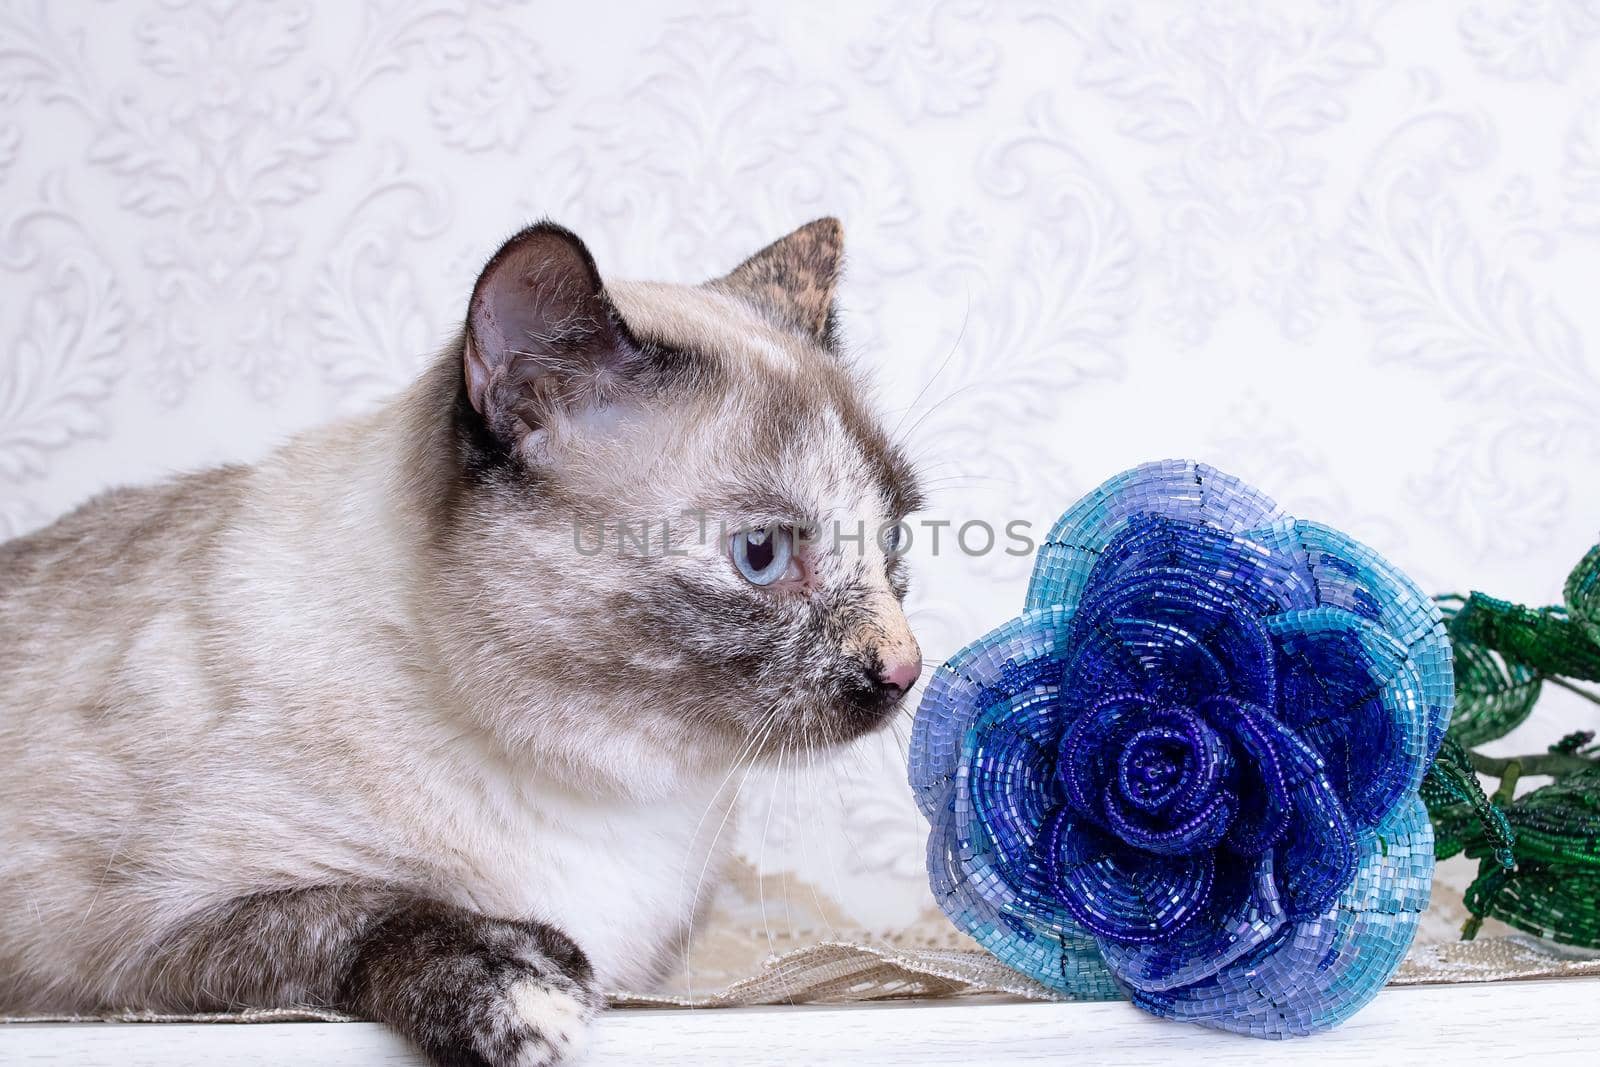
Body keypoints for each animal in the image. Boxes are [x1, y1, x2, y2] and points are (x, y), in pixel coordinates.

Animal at [0, 219, 928, 1067]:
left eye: (892, 544)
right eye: (762, 554)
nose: (906, 668)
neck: (611, 786)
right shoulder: (127, 947)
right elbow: (354, 910)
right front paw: (524, 990)